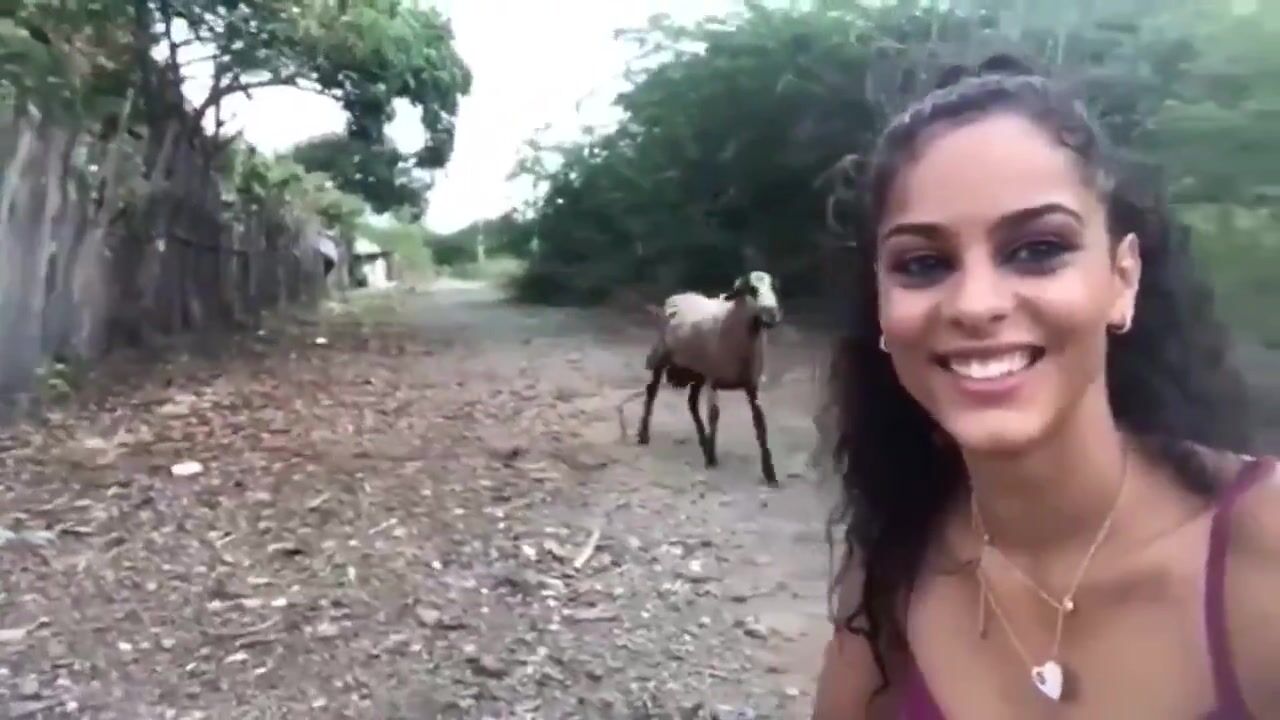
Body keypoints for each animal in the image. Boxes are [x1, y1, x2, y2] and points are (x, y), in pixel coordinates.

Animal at [636, 270, 783, 487]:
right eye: (751, 289)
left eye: (773, 287)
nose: (772, 315)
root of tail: (680, 295)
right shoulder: (714, 378)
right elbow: (714, 415)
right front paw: (712, 459)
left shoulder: (751, 384)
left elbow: (760, 422)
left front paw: (770, 472)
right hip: (661, 356)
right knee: (651, 391)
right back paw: (643, 435)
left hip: (698, 372)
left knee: (691, 403)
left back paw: (704, 443)